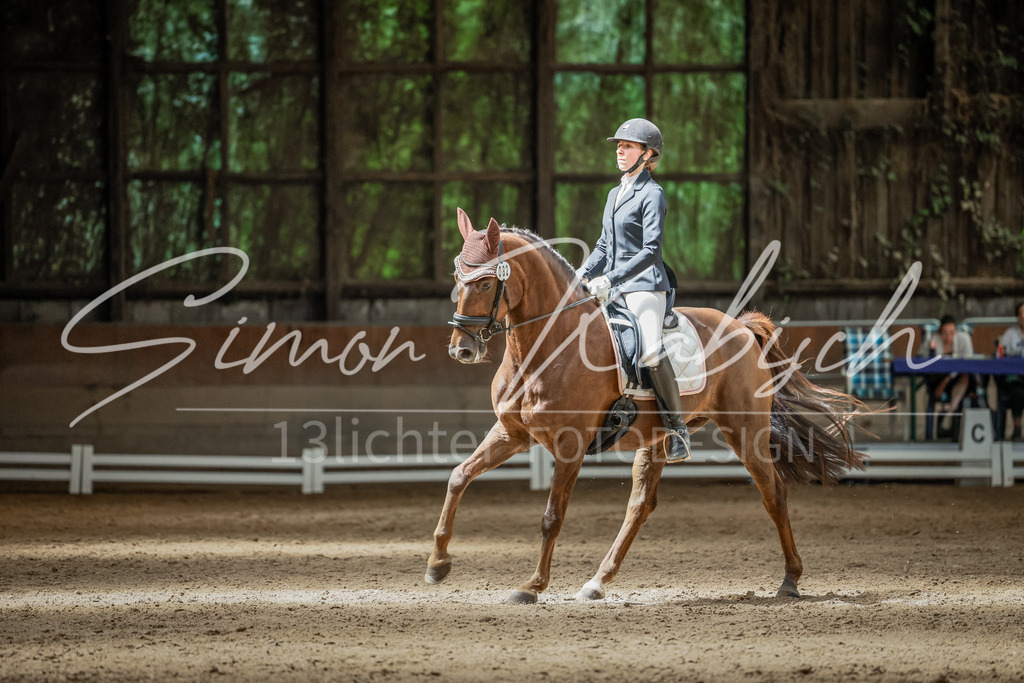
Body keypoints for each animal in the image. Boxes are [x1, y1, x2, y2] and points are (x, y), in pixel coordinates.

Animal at [426, 209, 868, 604]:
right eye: (457, 278)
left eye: (486, 283)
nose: (461, 350)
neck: (548, 345)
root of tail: (741, 327)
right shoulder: (512, 433)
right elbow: (458, 477)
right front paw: (437, 563)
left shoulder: (569, 446)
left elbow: (552, 517)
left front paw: (531, 586)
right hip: (657, 437)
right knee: (640, 506)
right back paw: (597, 582)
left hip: (745, 430)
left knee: (773, 490)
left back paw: (790, 580)